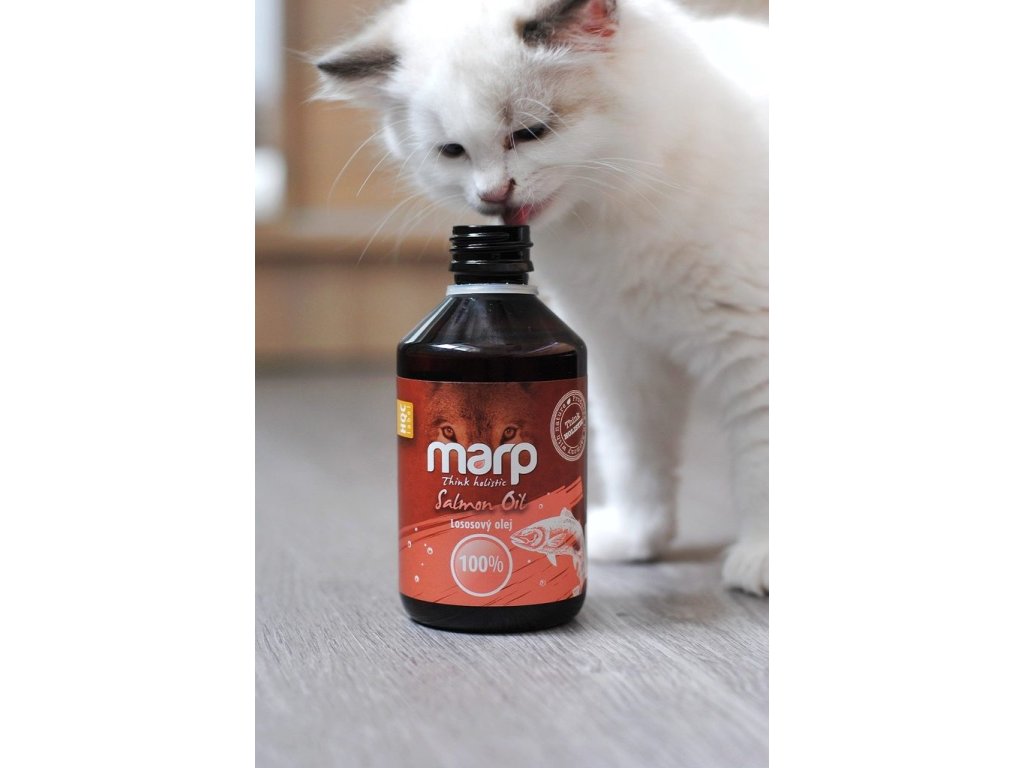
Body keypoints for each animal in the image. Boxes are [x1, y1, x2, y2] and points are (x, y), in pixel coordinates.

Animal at [315, 0, 769, 595]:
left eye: (530, 132)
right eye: (453, 151)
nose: (493, 196)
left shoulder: (750, 349)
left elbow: (759, 467)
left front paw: (761, 559)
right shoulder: (623, 355)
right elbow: (636, 459)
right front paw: (634, 538)